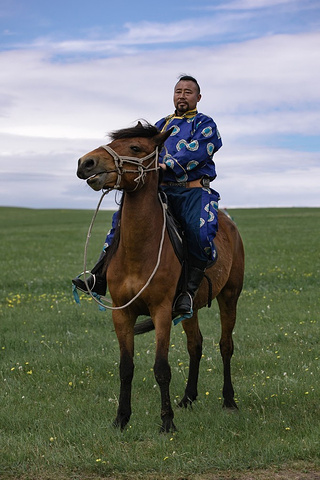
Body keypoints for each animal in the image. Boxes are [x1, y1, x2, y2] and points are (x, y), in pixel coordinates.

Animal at [76, 122, 244, 434]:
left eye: (135, 147)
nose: (86, 163)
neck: (140, 250)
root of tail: (229, 224)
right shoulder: (122, 313)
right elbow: (126, 368)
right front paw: (121, 418)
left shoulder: (162, 311)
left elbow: (161, 369)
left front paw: (167, 422)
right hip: (189, 307)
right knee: (195, 345)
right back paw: (188, 398)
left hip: (230, 296)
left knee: (225, 346)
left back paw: (229, 401)